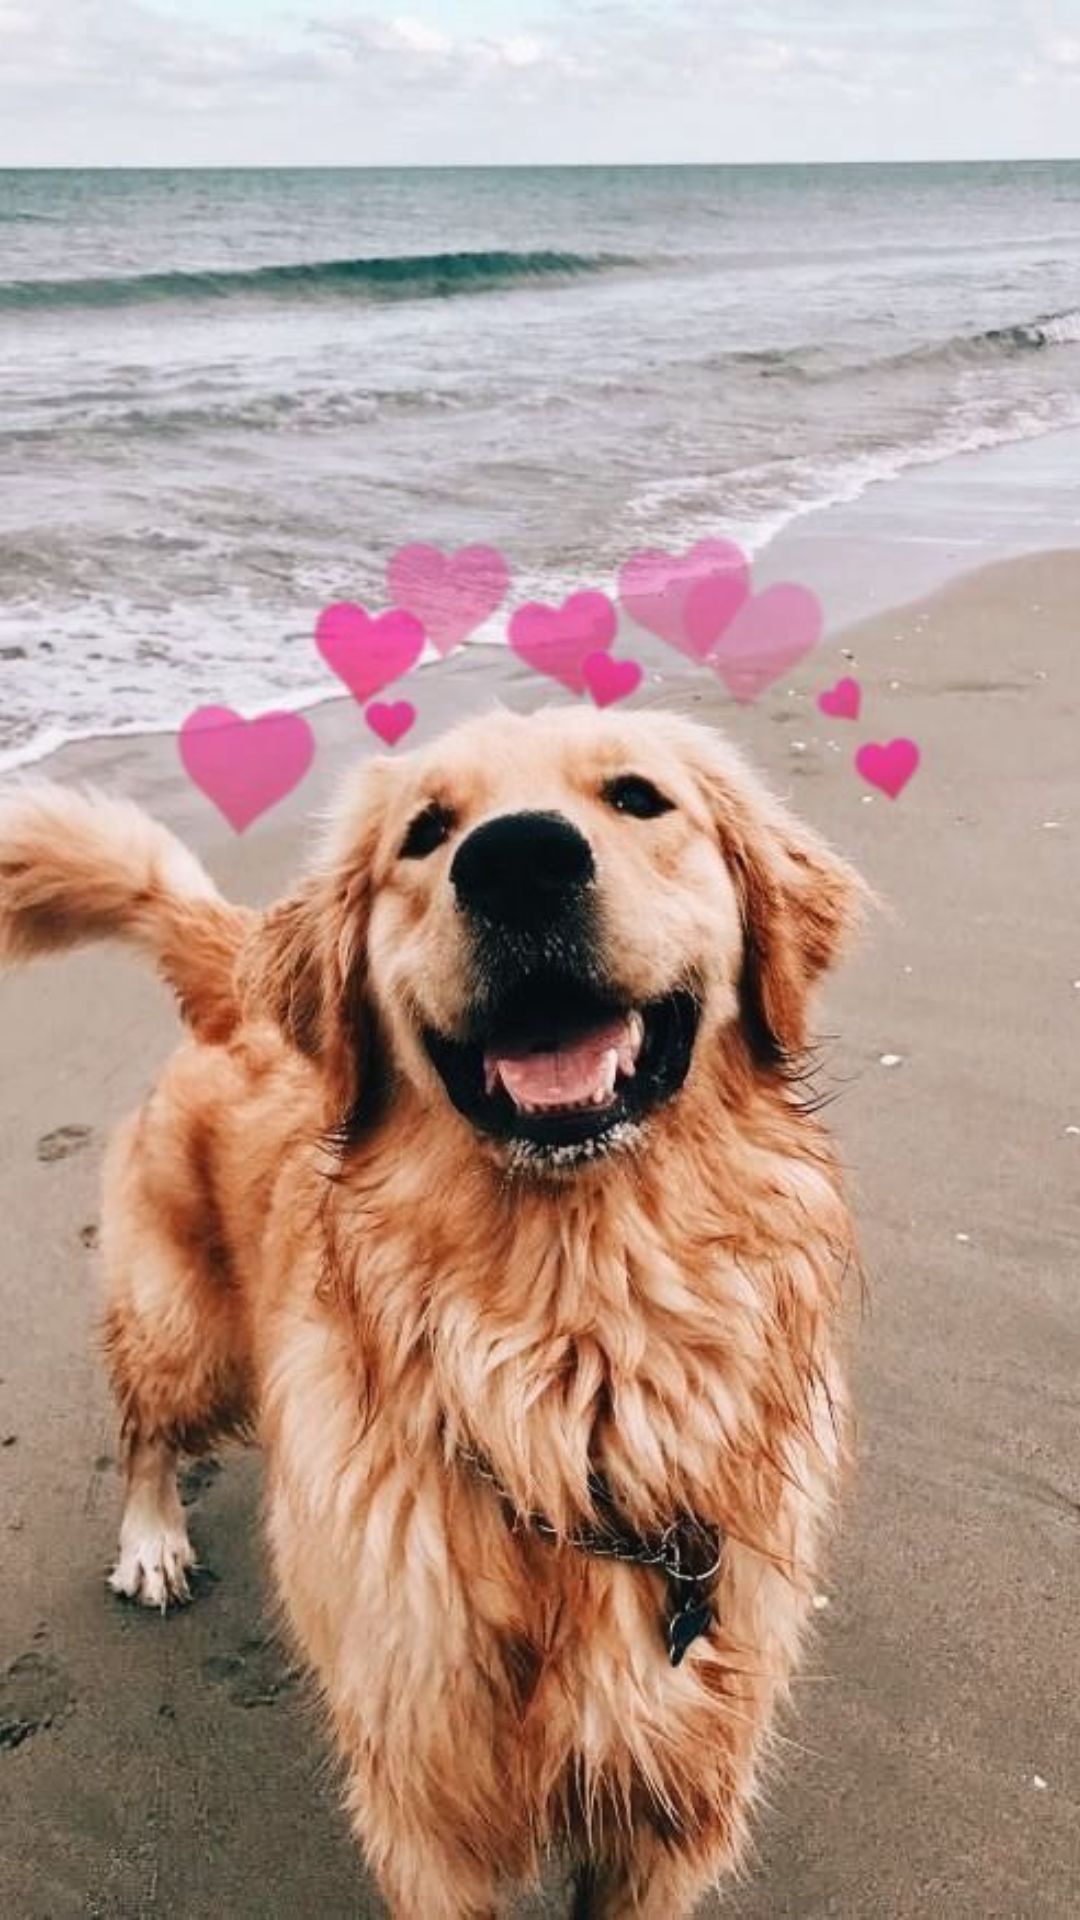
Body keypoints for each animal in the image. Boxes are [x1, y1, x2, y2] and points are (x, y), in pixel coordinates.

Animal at [0, 710, 857, 1920]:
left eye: (639, 797)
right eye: (425, 833)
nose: (518, 862)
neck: (573, 1355)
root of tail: (233, 978)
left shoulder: (668, 1812)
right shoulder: (428, 1813)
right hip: (187, 1331)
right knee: (145, 1427)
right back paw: (154, 1542)